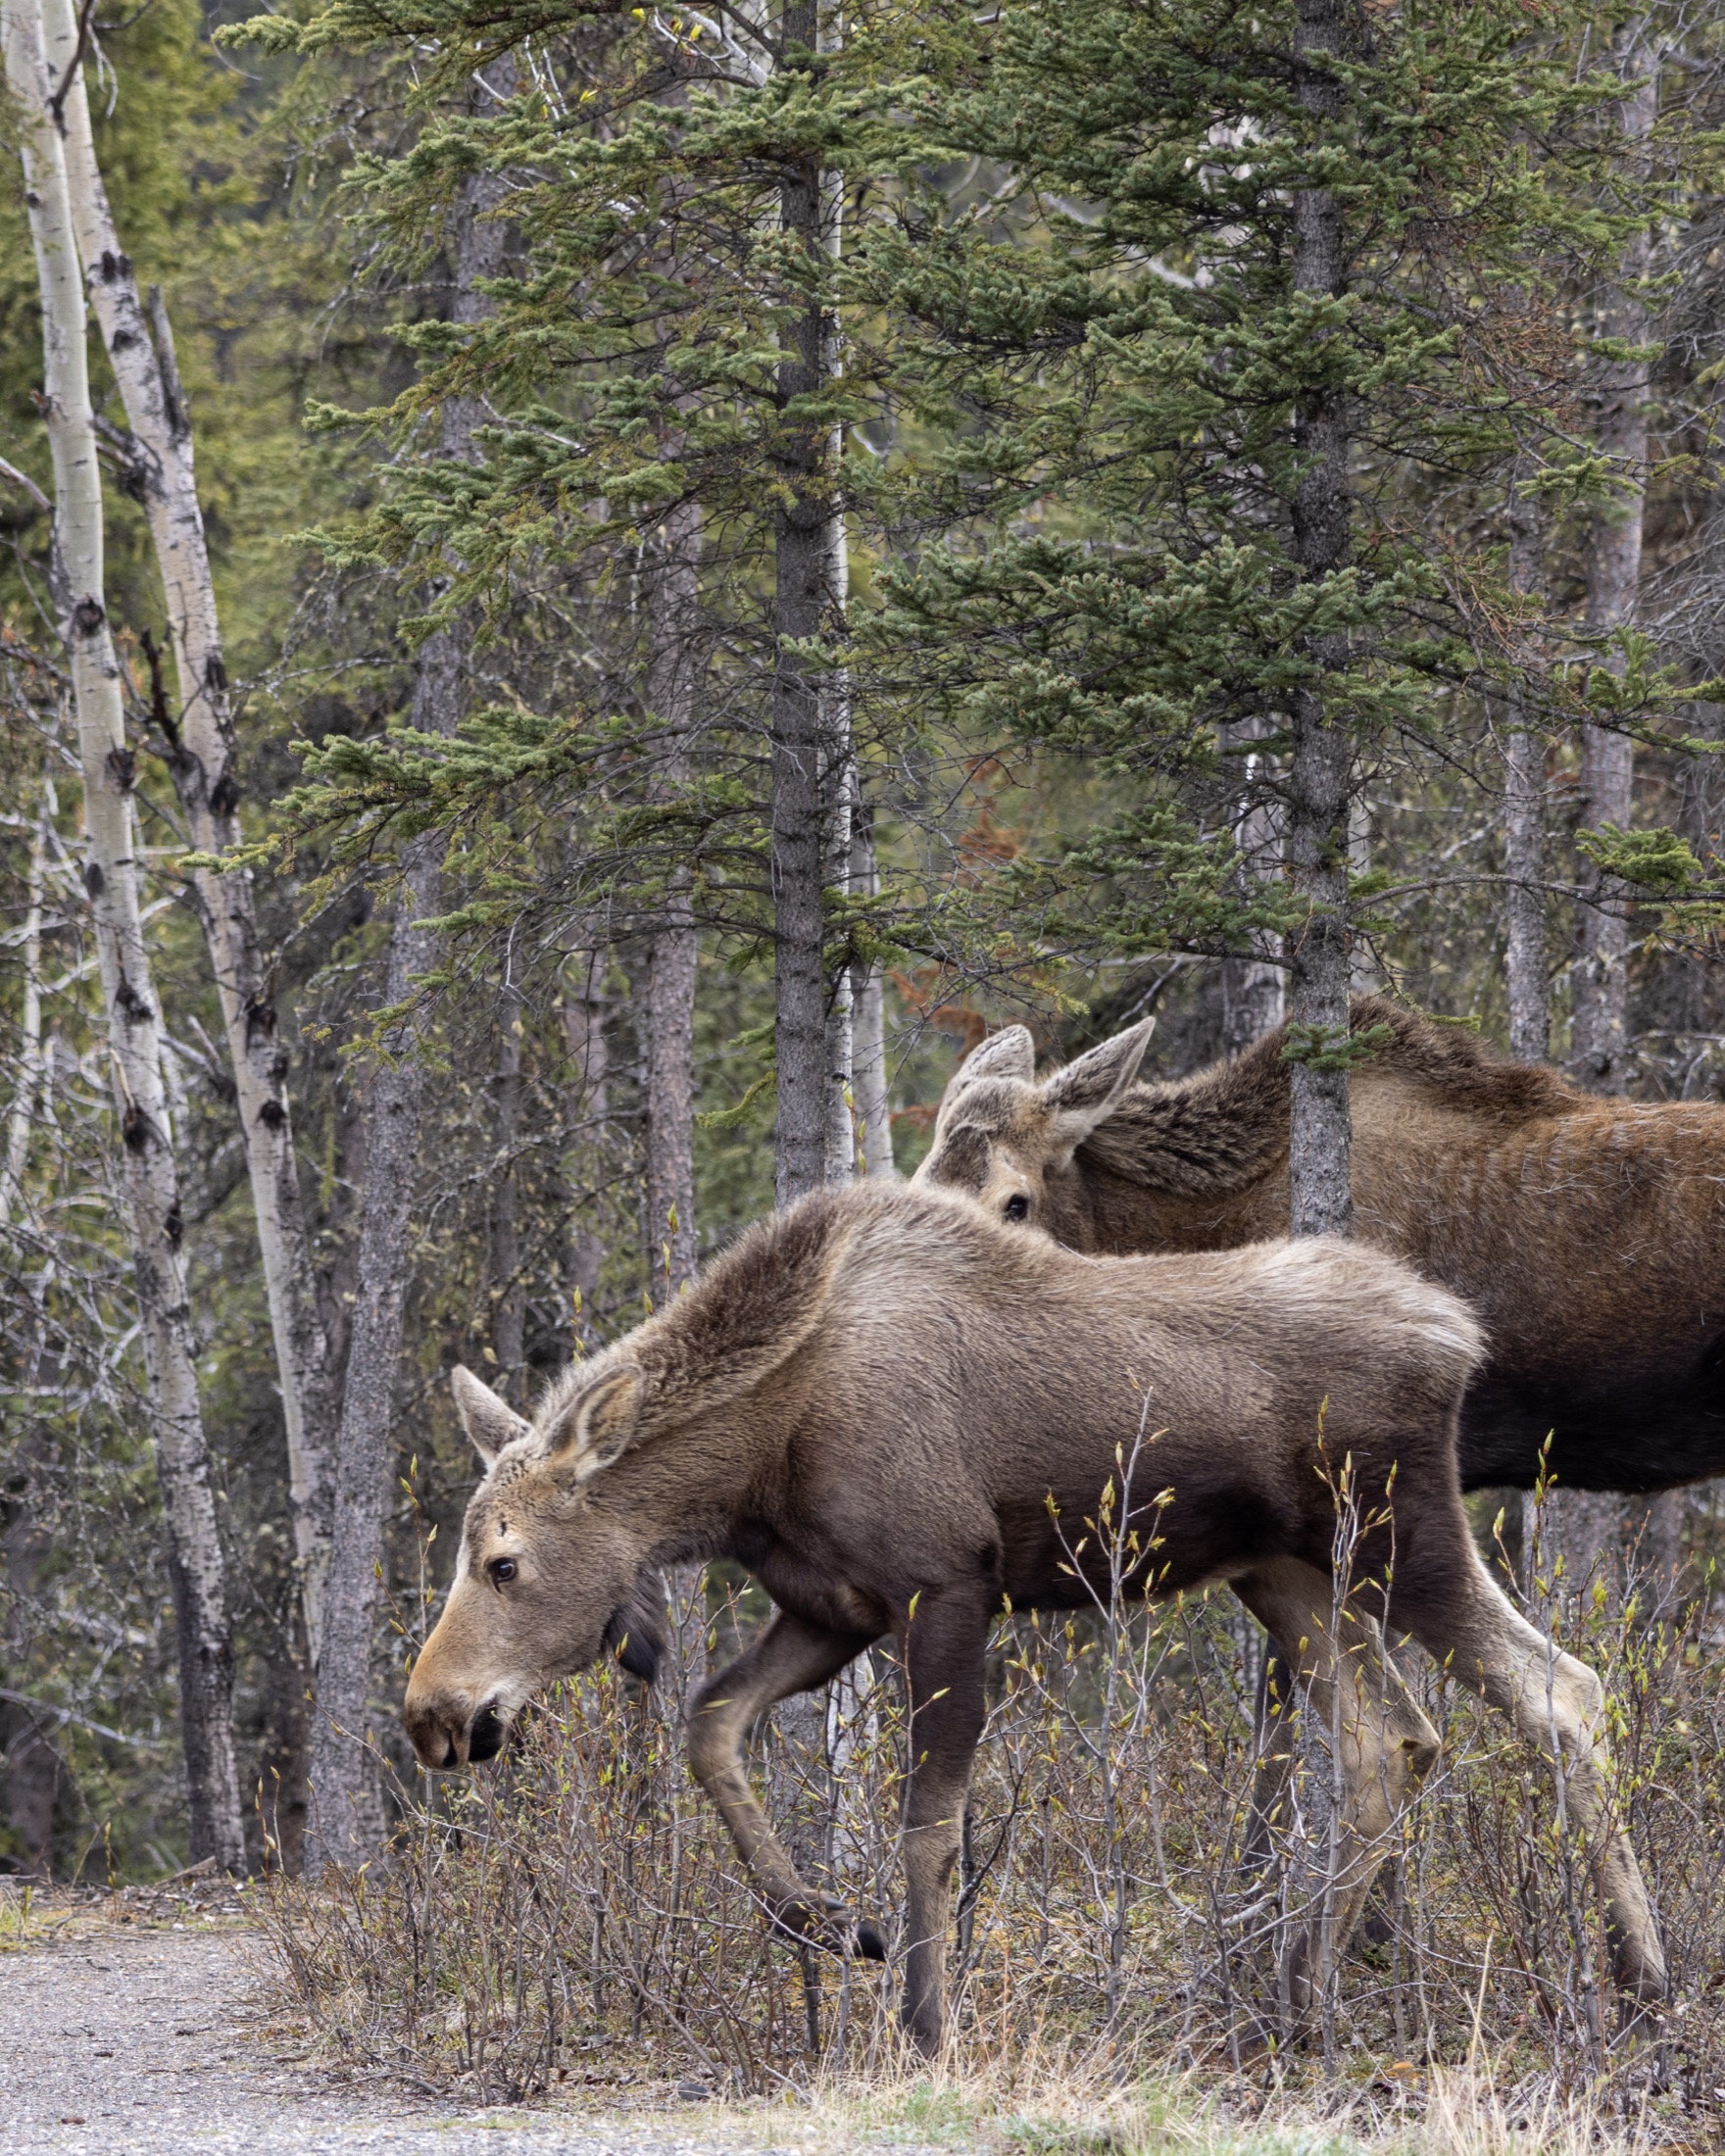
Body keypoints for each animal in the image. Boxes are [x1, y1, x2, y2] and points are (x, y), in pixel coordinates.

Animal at [404, 1179, 1663, 2054]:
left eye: (504, 1561)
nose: (428, 1712)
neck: (752, 1465)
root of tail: (1458, 1330)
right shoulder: (833, 1607)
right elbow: (709, 1725)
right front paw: (826, 1920)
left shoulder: (945, 1588)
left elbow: (928, 1824)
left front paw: (926, 2023)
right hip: (1289, 1573)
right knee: (1390, 1738)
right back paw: (1301, 2001)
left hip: (1405, 1532)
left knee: (1560, 1689)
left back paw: (1640, 1982)